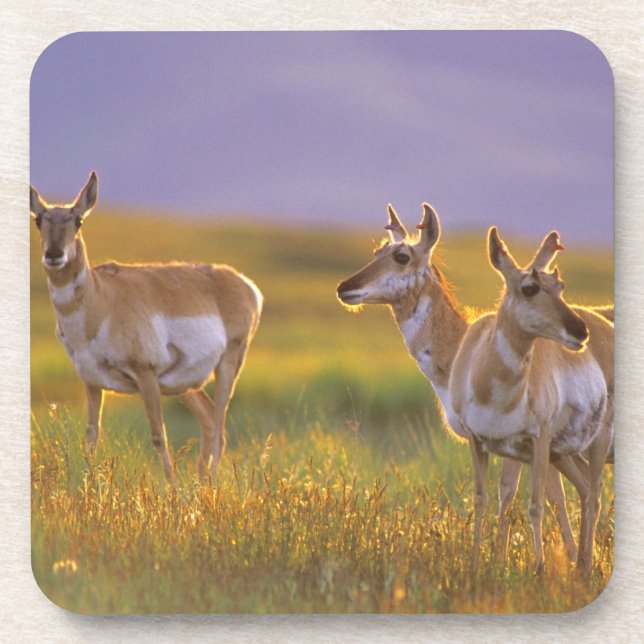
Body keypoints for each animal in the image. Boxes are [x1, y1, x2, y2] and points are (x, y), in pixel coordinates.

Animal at [30, 172, 262, 481]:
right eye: (38, 220)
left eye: (78, 220)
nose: (54, 254)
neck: (101, 301)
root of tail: (244, 283)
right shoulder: (91, 382)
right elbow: (92, 437)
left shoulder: (146, 375)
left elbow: (159, 436)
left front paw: (173, 490)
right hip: (184, 385)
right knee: (210, 421)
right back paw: (202, 483)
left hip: (228, 364)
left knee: (219, 428)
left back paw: (209, 482)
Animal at [449, 227, 613, 573]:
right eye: (529, 288)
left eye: (560, 286)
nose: (580, 331)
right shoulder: (478, 441)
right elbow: (483, 499)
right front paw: (476, 563)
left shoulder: (539, 440)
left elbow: (535, 505)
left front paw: (539, 569)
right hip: (562, 454)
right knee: (585, 489)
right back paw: (581, 564)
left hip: (596, 441)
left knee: (593, 495)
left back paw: (586, 566)